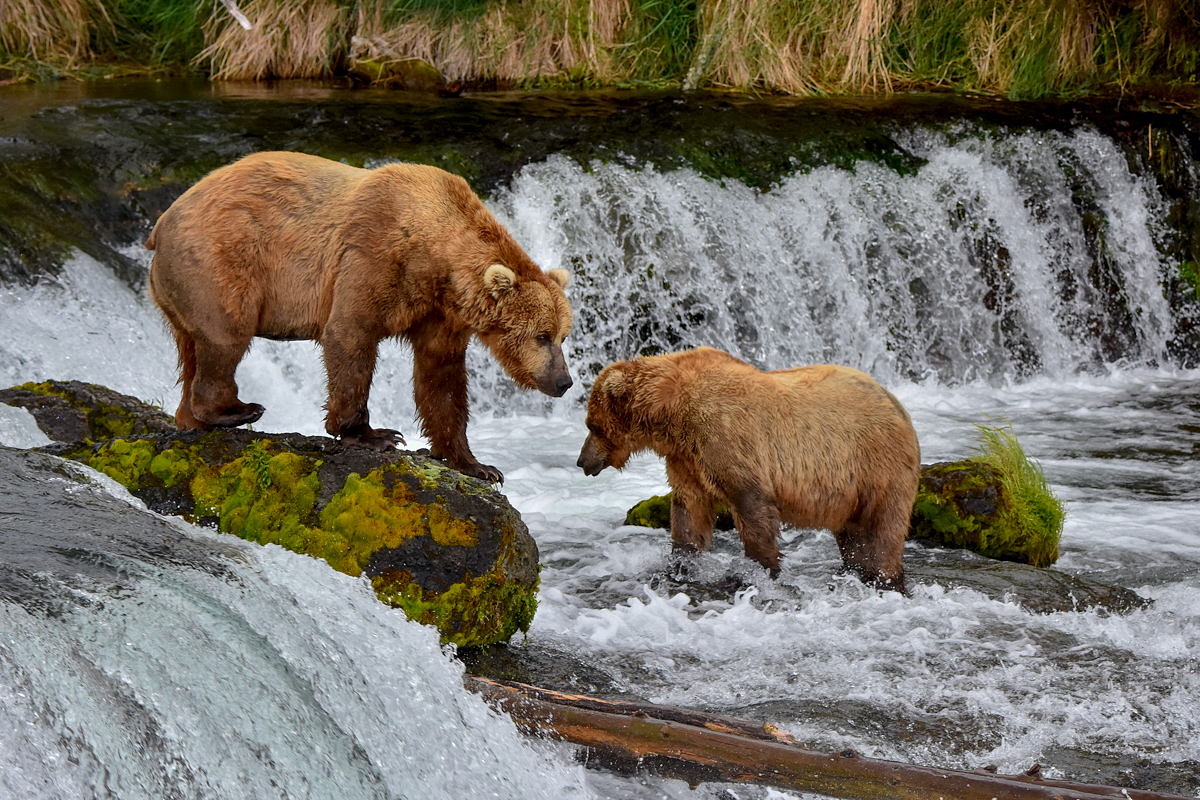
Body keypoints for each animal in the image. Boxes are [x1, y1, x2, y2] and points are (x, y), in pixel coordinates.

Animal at [147, 153, 573, 484]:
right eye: (542, 335)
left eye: (562, 335)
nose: (564, 381)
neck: (436, 259)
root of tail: (161, 222)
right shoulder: (373, 256)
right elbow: (349, 337)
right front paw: (374, 434)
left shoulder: (440, 312)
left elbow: (441, 378)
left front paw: (476, 464)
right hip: (219, 262)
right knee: (227, 335)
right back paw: (236, 409)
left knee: (192, 350)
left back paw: (190, 418)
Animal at [576, 347, 921, 592]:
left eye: (592, 424)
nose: (582, 461)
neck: (671, 413)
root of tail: (898, 404)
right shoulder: (686, 458)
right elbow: (689, 509)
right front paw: (681, 564)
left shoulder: (726, 435)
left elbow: (752, 506)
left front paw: (762, 571)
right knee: (854, 536)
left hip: (877, 466)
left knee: (882, 531)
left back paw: (882, 577)